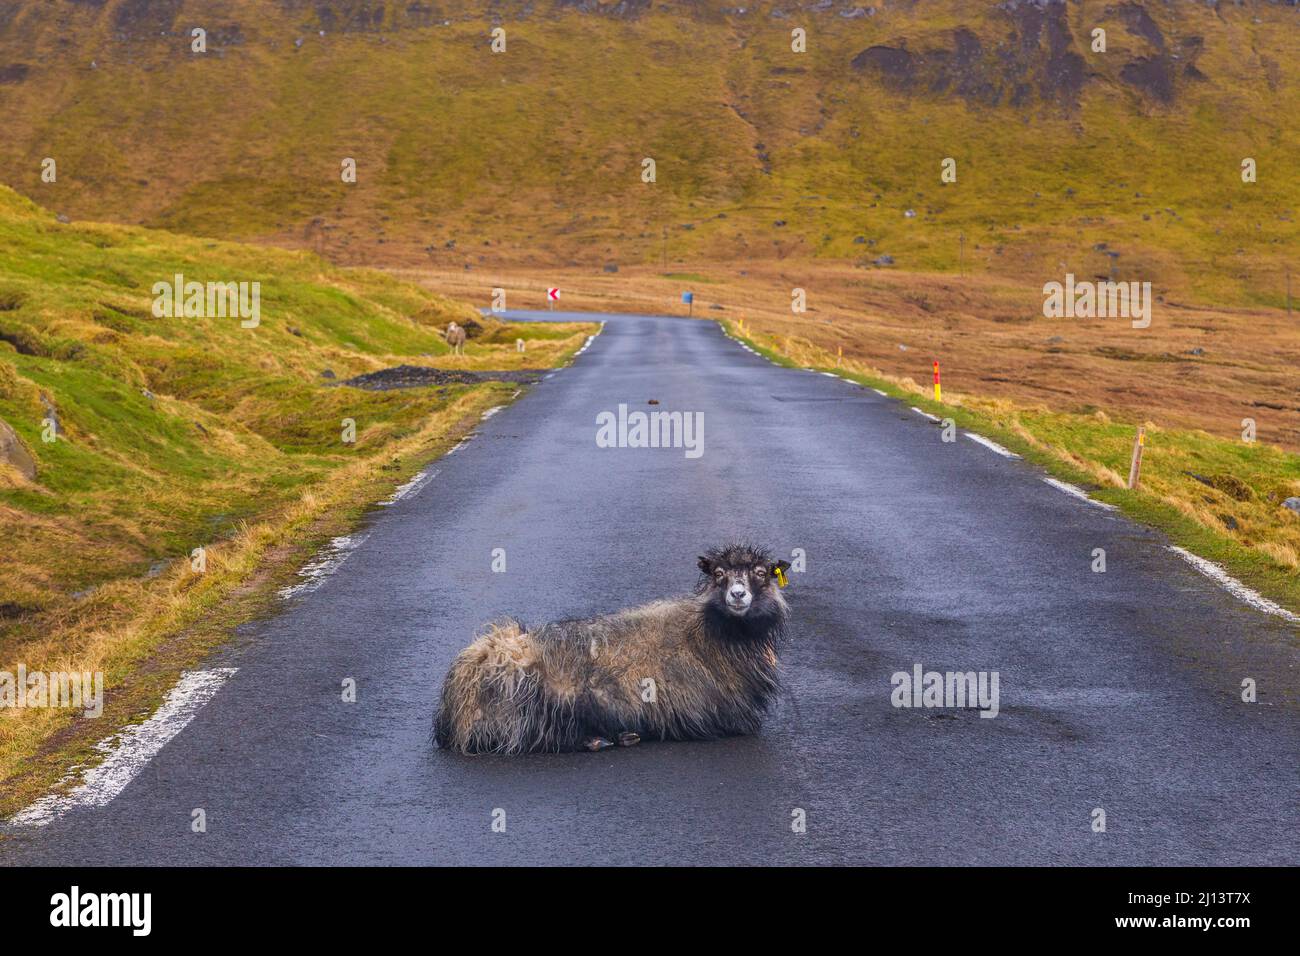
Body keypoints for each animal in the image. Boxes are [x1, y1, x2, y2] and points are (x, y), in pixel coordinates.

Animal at [434, 546, 790, 754]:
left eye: (761, 573)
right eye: (719, 574)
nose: (738, 595)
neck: (711, 633)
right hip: (531, 704)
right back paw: (605, 738)